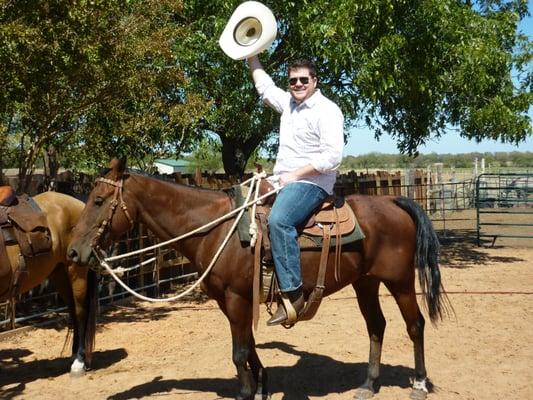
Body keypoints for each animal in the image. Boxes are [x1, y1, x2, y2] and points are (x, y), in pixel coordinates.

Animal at [1, 191, 96, 376]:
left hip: (76, 271)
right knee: (73, 311)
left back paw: (79, 362)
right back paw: (73, 355)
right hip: (60, 274)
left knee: (80, 312)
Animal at [66, 159, 446, 400]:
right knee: (376, 326)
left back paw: (419, 385)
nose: (73, 252)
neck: (216, 228)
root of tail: (394, 201)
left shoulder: (236, 297)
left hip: (399, 280)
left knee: (415, 324)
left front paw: (247, 392)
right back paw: (369, 384)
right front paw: (262, 384)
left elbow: (237, 353)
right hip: (365, 282)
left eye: (98, 200)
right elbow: (247, 345)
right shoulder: (231, 300)